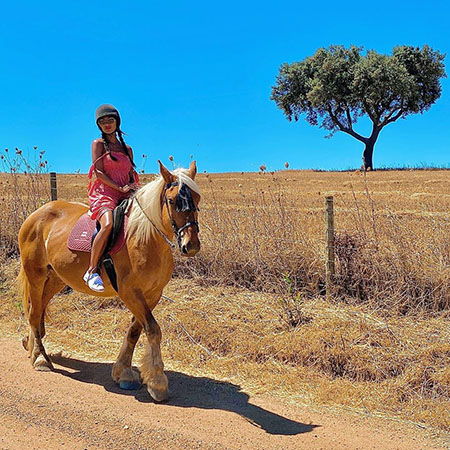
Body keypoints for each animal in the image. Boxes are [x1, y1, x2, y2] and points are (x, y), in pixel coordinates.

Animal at [17, 161, 200, 400]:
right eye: (171, 200)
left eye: (197, 199)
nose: (191, 245)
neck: (144, 238)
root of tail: (36, 215)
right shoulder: (130, 292)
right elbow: (152, 329)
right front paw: (157, 382)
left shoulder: (152, 294)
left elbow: (135, 330)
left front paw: (123, 373)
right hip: (36, 274)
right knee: (34, 312)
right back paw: (40, 358)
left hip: (56, 278)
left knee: (38, 311)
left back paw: (31, 345)